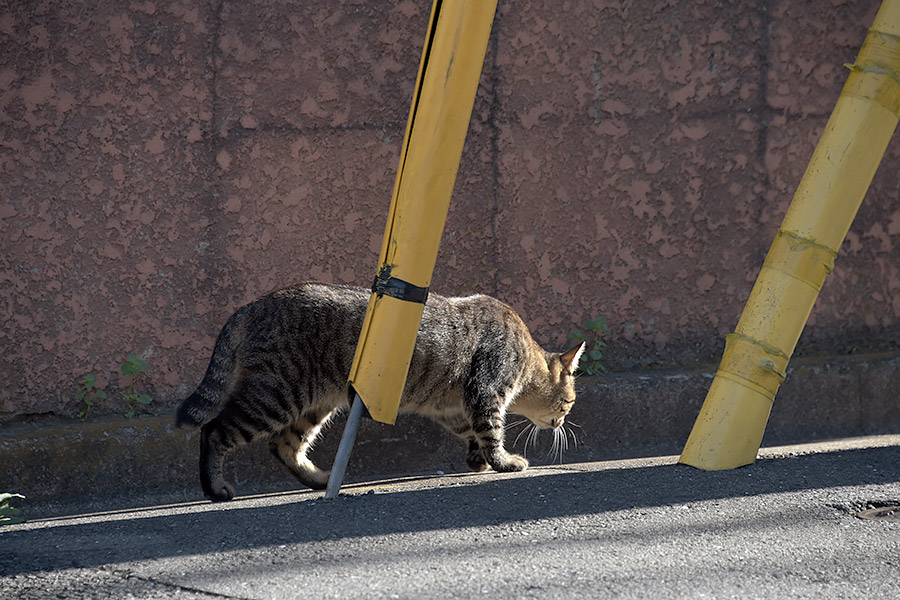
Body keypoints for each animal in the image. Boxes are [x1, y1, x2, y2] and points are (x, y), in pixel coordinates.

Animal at [178, 284, 584, 500]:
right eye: (569, 402)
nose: (563, 421)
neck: (525, 352)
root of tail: (252, 305)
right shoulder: (486, 391)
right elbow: (492, 430)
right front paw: (503, 462)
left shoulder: (453, 407)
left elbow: (474, 431)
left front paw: (478, 459)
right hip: (274, 395)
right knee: (214, 431)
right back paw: (214, 488)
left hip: (313, 404)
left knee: (283, 446)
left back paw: (320, 478)